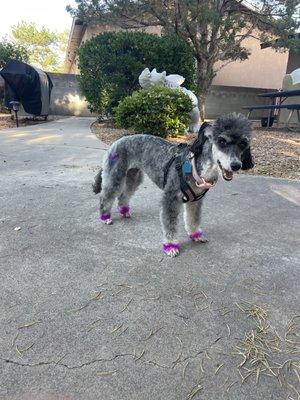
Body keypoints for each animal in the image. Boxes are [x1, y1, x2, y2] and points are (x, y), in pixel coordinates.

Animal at [94, 112, 253, 256]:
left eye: (243, 143)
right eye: (222, 141)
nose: (236, 165)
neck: (195, 167)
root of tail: (116, 142)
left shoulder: (195, 201)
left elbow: (193, 219)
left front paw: (195, 235)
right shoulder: (171, 199)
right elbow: (170, 223)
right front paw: (170, 246)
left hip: (134, 177)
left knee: (123, 195)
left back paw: (124, 211)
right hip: (115, 176)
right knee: (106, 196)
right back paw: (105, 217)